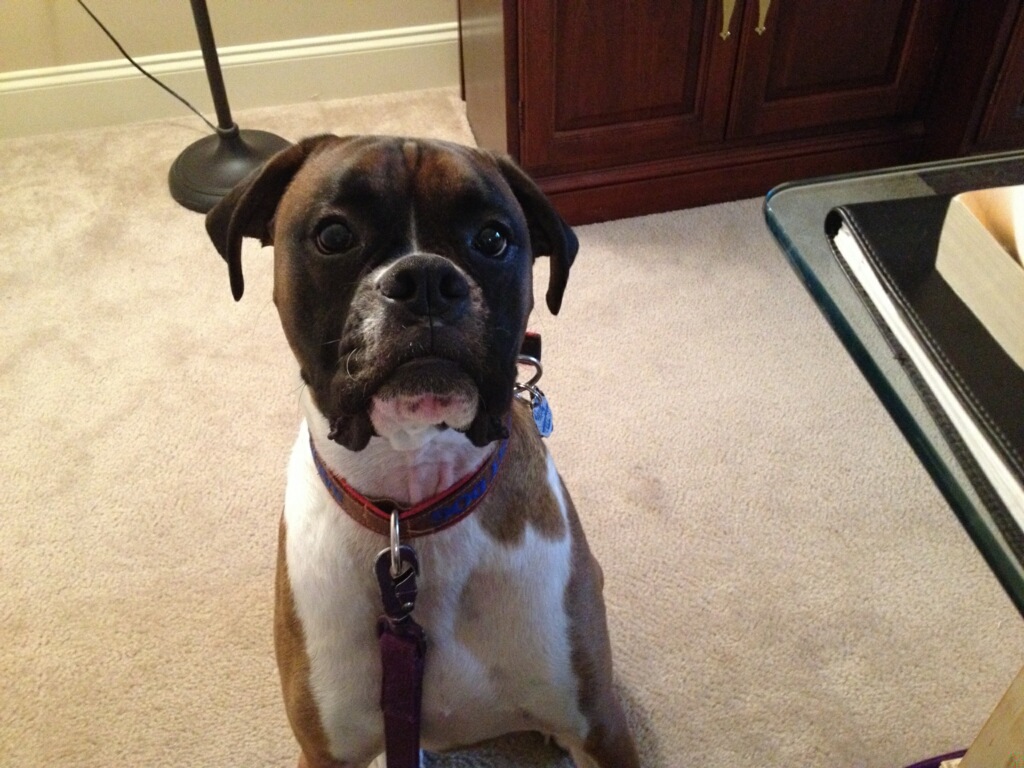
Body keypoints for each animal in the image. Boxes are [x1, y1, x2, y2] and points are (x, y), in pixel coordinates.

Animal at [206, 135, 640, 768]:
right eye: (333, 235)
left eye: (493, 238)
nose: (428, 278)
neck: (411, 503)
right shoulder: (328, 752)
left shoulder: (600, 727)